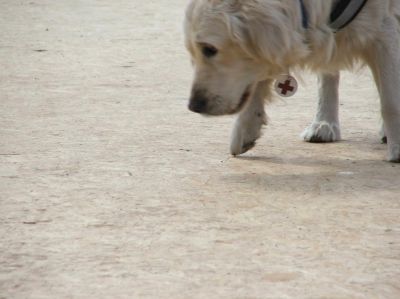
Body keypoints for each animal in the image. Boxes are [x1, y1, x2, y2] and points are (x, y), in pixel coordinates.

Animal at [184, 0, 400, 163]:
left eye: (209, 49)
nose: (194, 106)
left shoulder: (385, 29)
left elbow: (390, 101)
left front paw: (397, 148)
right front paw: (246, 128)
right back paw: (323, 123)